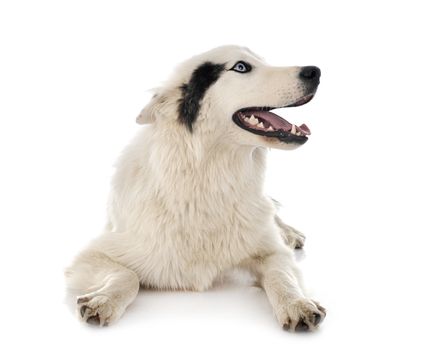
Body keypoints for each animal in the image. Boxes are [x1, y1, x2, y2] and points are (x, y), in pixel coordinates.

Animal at [65, 44, 326, 330]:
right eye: (241, 67)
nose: (315, 71)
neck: (211, 179)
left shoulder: (272, 252)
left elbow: (281, 274)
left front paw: (296, 303)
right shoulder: (92, 254)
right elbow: (128, 276)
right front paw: (104, 300)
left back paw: (289, 232)